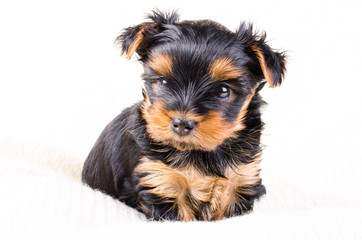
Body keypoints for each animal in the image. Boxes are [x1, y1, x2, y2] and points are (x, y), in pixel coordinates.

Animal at [81, 10, 286, 221]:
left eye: (223, 90)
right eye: (163, 82)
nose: (181, 123)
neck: (199, 153)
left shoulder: (240, 179)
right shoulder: (161, 180)